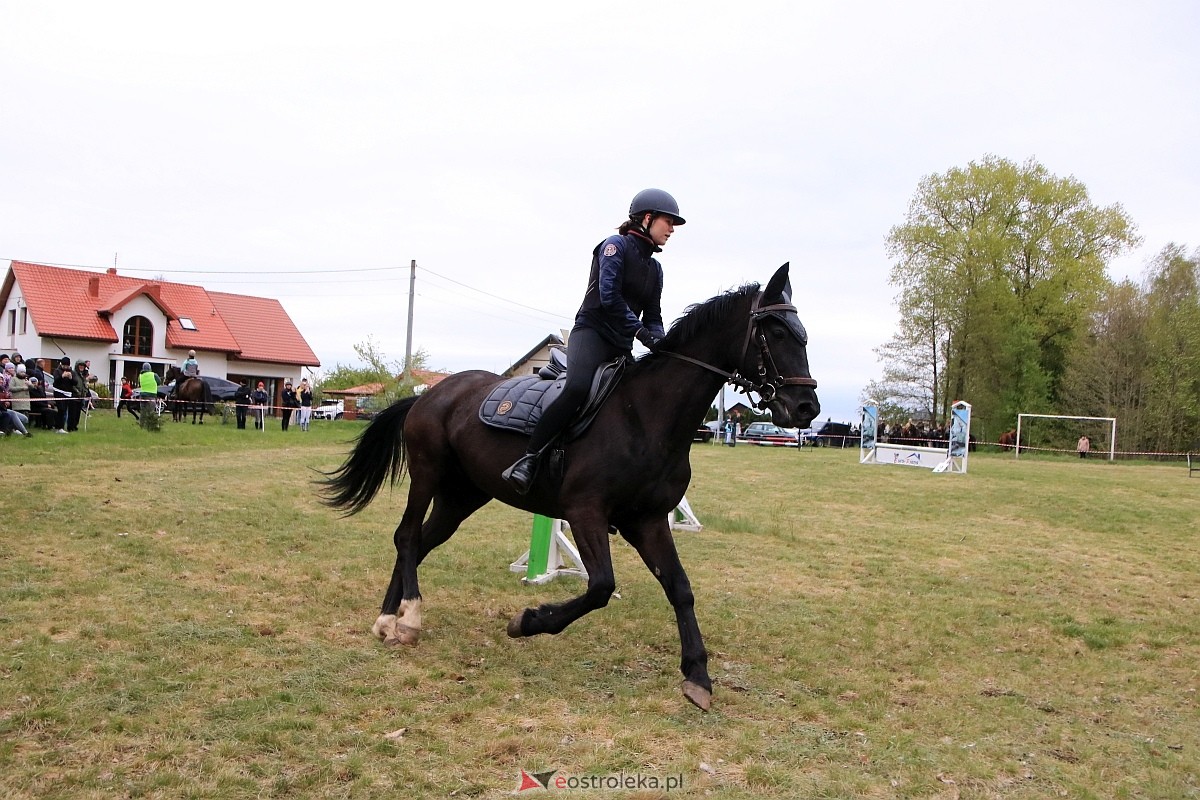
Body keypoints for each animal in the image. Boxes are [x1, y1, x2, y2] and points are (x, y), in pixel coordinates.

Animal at [324, 266, 820, 710]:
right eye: (776, 332)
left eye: (802, 335)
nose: (806, 407)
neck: (646, 416)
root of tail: (430, 394)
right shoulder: (586, 513)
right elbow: (600, 586)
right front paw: (528, 621)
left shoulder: (648, 520)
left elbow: (679, 588)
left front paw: (697, 675)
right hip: (427, 475)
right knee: (407, 536)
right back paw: (406, 618)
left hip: (462, 497)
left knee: (421, 542)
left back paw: (388, 620)